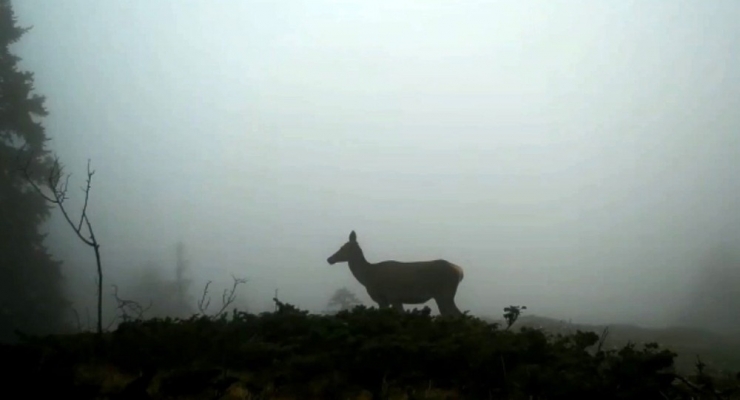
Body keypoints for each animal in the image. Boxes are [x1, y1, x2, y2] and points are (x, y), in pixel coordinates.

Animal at [328, 230, 466, 318]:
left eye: (343, 248)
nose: (329, 259)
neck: (368, 276)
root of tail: (460, 271)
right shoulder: (388, 300)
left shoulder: (391, 297)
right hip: (441, 296)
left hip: (445, 293)